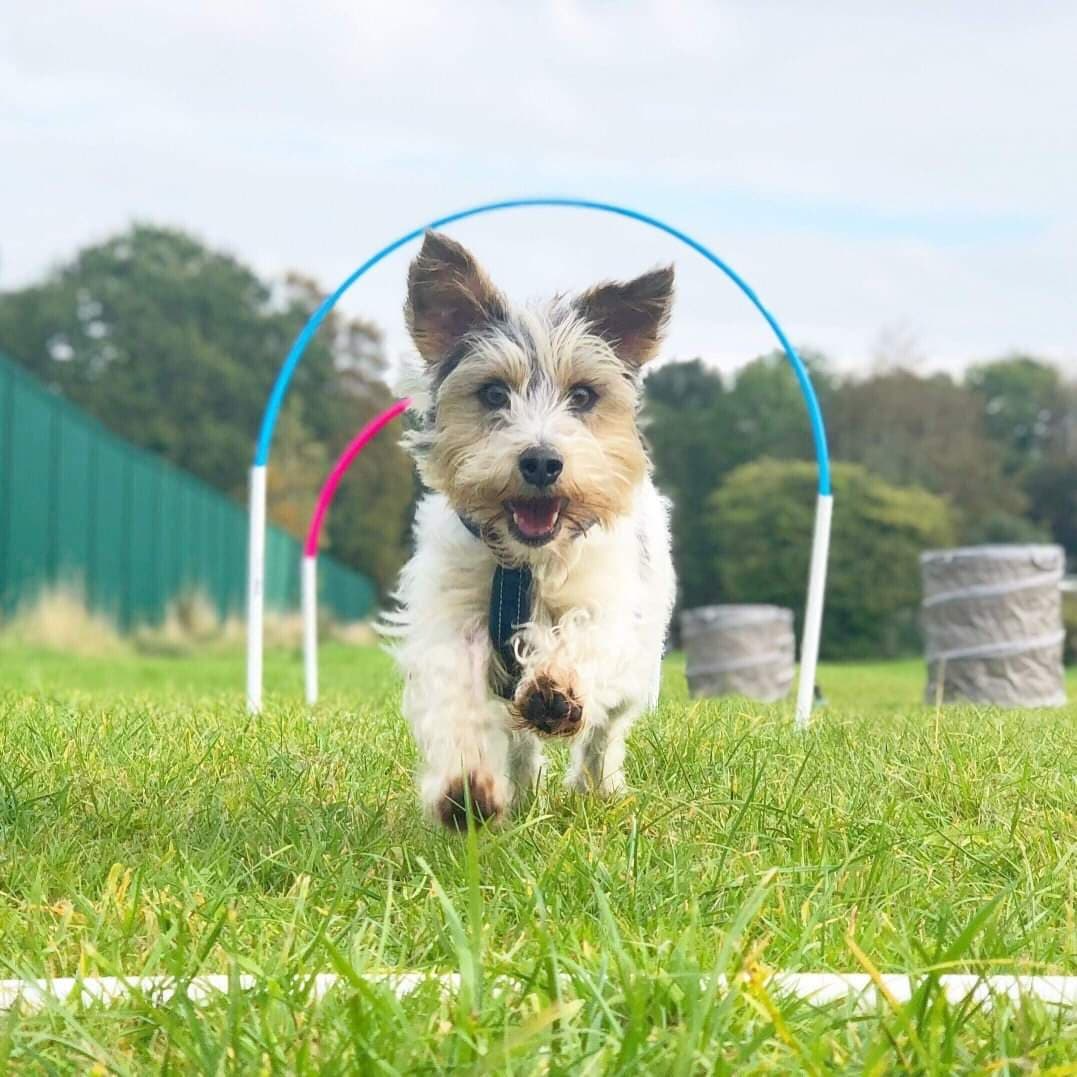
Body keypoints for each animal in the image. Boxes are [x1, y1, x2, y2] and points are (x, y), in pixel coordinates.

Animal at [387, 231, 672, 827]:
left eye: (582, 396)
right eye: (495, 393)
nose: (541, 461)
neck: (523, 564)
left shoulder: (607, 603)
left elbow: (583, 634)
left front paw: (555, 687)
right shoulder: (453, 617)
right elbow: (458, 699)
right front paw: (467, 788)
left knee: (605, 733)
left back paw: (597, 786)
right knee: (518, 742)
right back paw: (520, 789)